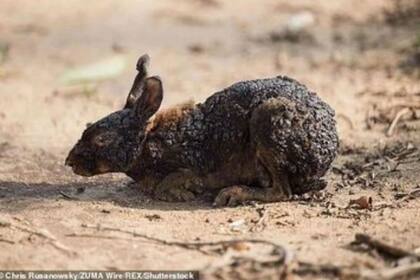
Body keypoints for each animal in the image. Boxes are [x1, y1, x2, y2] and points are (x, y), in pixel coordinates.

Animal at [66, 54, 342, 207]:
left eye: (102, 139)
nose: (70, 162)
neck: (148, 141)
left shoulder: (193, 166)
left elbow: (171, 182)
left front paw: (180, 194)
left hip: (269, 120)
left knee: (282, 191)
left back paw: (233, 194)